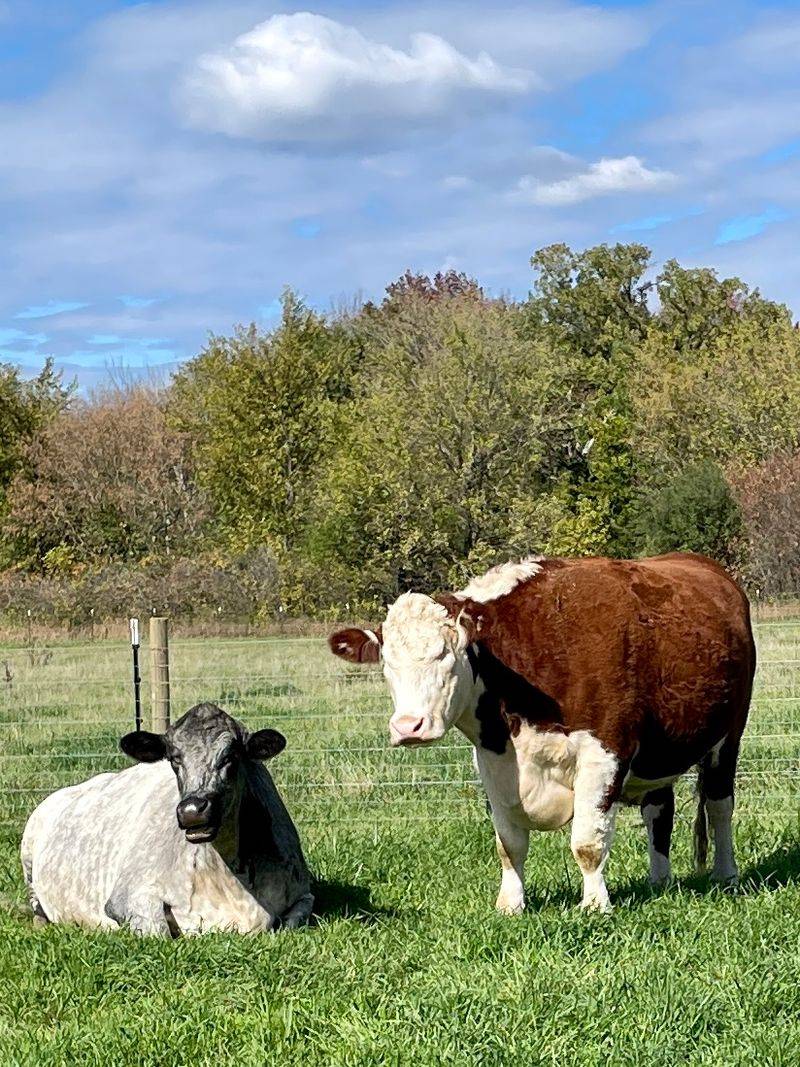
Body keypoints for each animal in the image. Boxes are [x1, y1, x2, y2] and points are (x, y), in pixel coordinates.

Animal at [21, 702, 313, 935]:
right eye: (174, 759)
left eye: (230, 756)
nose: (192, 810)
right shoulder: (127, 896)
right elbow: (158, 931)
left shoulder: (305, 893)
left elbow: (291, 923)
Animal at [330, 553, 755, 913]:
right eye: (387, 663)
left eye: (447, 654)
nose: (409, 727)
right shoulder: (493, 762)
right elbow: (509, 844)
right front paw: (511, 904)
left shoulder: (605, 751)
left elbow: (587, 842)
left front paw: (595, 905)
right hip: (660, 751)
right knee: (659, 812)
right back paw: (659, 881)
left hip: (728, 738)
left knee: (719, 806)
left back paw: (726, 874)